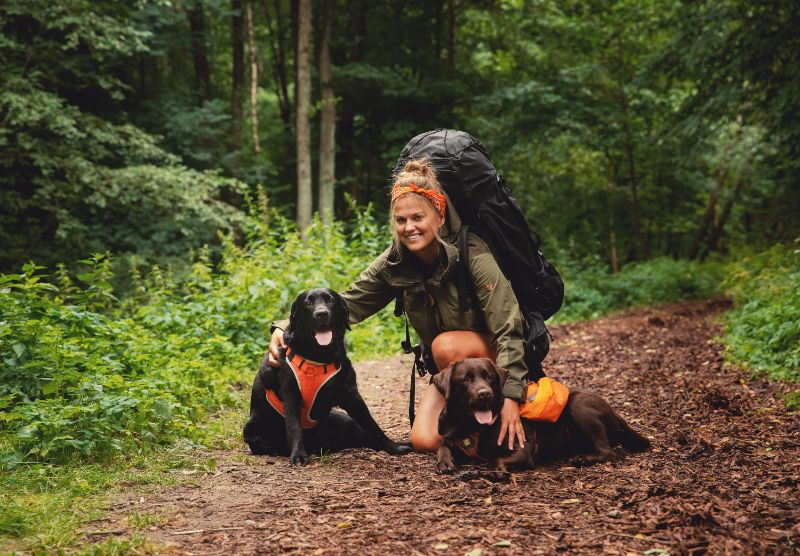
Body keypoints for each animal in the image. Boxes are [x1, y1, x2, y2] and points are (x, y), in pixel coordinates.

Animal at [244, 286, 410, 464]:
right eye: (308, 303)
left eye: (330, 300)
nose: (321, 313)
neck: (320, 357)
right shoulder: (291, 395)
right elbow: (294, 428)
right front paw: (298, 455)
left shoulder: (352, 396)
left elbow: (372, 425)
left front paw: (393, 446)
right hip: (252, 431)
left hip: (345, 421)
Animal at [432, 356, 648, 474]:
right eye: (466, 379)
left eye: (489, 377)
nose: (485, 393)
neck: (470, 426)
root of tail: (614, 412)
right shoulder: (450, 436)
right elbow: (442, 446)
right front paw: (445, 462)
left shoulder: (522, 450)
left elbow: (496, 459)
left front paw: (496, 471)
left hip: (579, 405)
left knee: (608, 452)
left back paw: (582, 458)